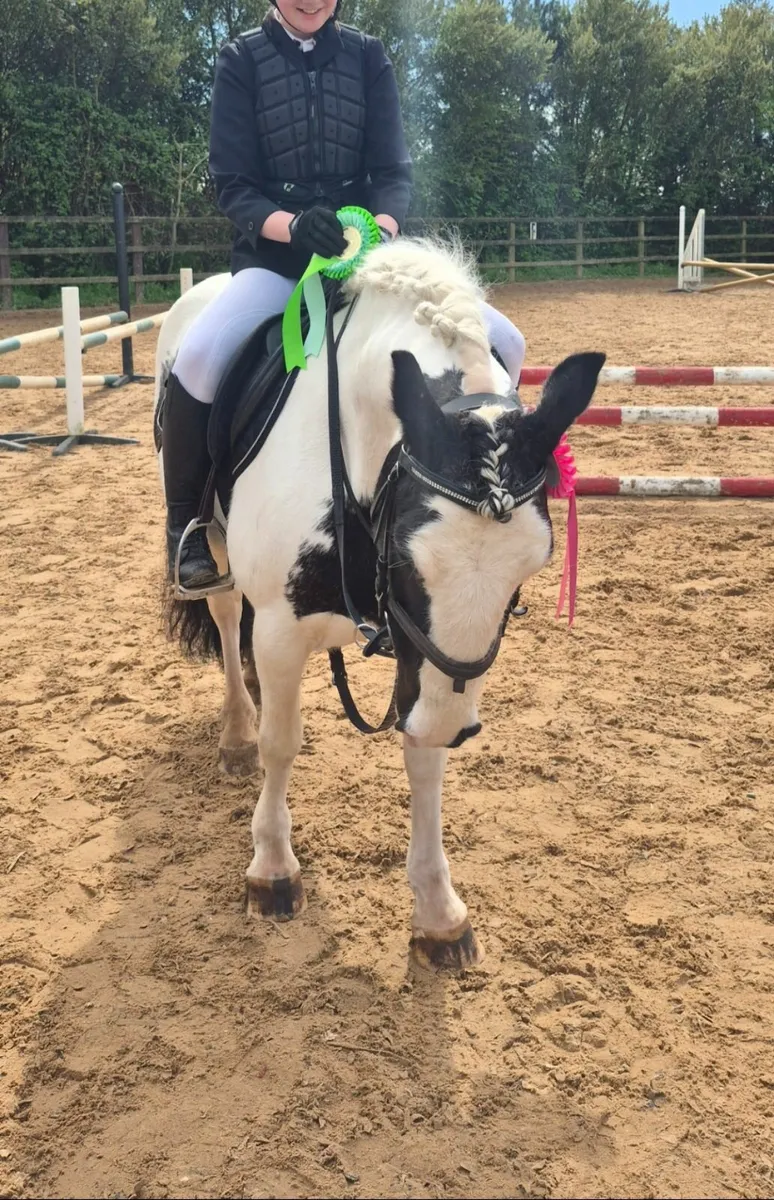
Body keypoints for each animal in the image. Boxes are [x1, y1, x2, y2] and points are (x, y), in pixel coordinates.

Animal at [155, 237, 604, 969]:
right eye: (404, 560)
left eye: (528, 570)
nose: (454, 724)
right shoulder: (282, 627)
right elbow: (283, 743)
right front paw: (273, 870)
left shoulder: (427, 665)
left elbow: (423, 758)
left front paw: (439, 915)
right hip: (214, 548)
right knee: (226, 624)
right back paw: (237, 732)